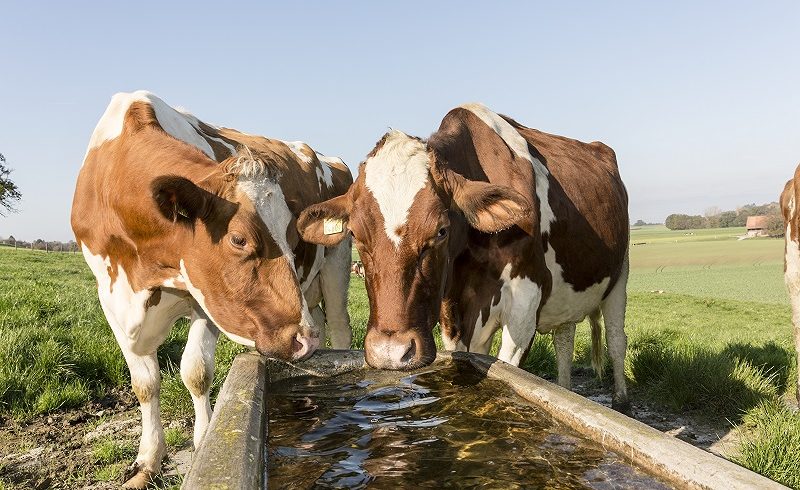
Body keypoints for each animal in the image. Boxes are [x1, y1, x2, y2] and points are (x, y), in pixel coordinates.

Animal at [70, 91, 352, 486]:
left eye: (293, 237)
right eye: (238, 239)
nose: (302, 339)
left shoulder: (204, 299)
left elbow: (196, 371)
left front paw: (204, 445)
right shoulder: (110, 298)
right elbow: (144, 384)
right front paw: (146, 462)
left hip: (337, 262)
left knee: (340, 326)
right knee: (322, 322)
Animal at [300, 102, 632, 410]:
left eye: (441, 230)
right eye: (355, 234)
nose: (390, 352)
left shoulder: (525, 302)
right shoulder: (454, 308)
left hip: (620, 277)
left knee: (617, 340)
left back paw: (621, 400)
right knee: (564, 339)